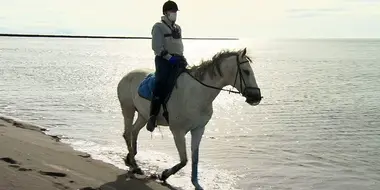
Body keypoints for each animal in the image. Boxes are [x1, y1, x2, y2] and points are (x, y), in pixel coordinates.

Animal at [117, 47, 262, 190]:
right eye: (246, 71)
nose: (257, 96)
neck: (197, 93)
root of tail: (127, 75)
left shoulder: (198, 129)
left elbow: (194, 158)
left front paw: (196, 184)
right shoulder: (178, 132)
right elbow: (184, 160)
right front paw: (164, 175)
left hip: (143, 115)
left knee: (134, 131)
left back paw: (131, 158)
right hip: (128, 109)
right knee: (127, 133)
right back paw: (135, 166)